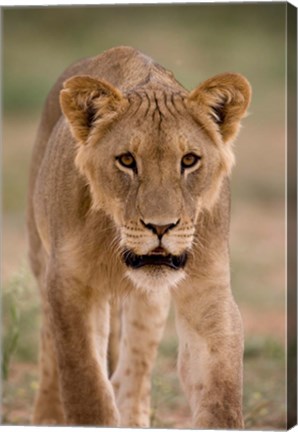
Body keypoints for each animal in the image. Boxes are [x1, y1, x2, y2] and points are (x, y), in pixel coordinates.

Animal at [27, 45, 251, 426]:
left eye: (189, 160)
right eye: (127, 160)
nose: (161, 227)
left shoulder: (207, 290)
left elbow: (220, 388)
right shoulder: (70, 285)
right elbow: (85, 384)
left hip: (150, 304)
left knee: (134, 371)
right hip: (40, 258)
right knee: (47, 339)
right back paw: (47, 415)